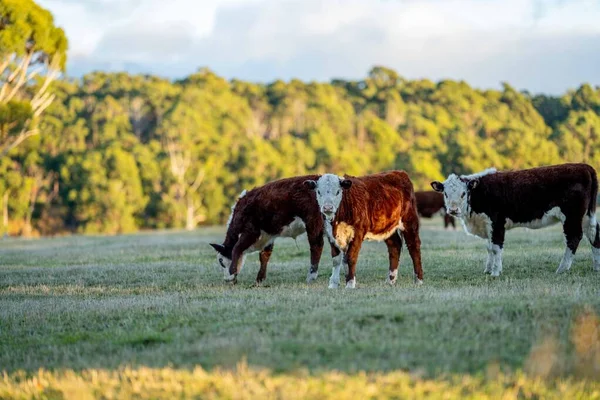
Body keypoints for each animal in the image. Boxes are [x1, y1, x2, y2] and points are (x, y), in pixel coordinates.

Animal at [432, 162, 600, 276]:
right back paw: (596, 267)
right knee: (594, 234)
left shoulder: (497, 223)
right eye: (445, 194)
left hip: (572, 216)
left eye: (463, 193)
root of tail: (584, 167)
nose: (453, 210)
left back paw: (562, 269)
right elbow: (489, 248)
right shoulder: (487, 225)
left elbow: (495, 247)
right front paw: (488, 269)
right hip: (586, 216)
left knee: (573, 237)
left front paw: (495, 272)